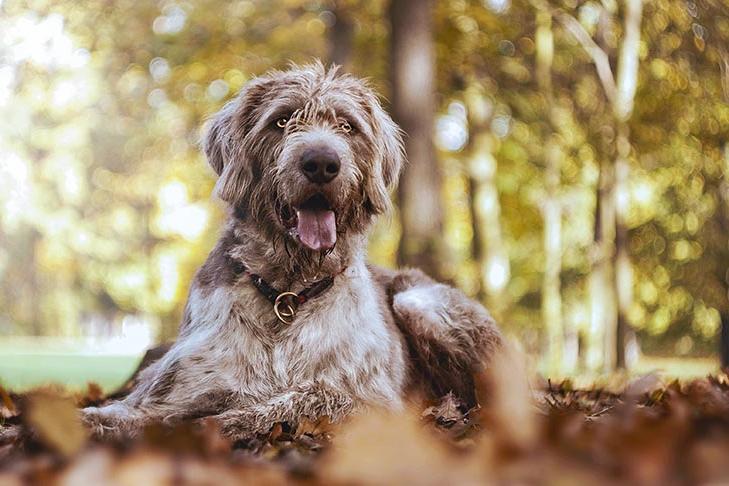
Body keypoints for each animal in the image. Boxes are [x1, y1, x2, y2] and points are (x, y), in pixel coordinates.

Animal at [81, 61, 500, 440]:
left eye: (347, 126)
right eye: (281, 121)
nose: (321, 163)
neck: (288, 293)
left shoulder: (373, 401)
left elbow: (307, 395)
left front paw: (228, 420)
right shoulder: (184, 377)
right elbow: (131, 409)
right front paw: (94, 419)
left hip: (420, 305)